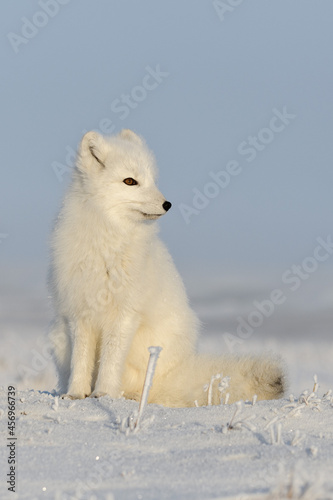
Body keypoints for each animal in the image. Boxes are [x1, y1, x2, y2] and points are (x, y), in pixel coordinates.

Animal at [48, 129, 284, 406]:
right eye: (130, 181)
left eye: (152, 180)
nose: (167, 204)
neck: (107, 241)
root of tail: (178, 375)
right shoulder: (79, 313)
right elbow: (81, 361)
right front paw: (75, 394)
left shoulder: (125, 314)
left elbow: (110, 362)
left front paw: (104, 394)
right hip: (57, 336)